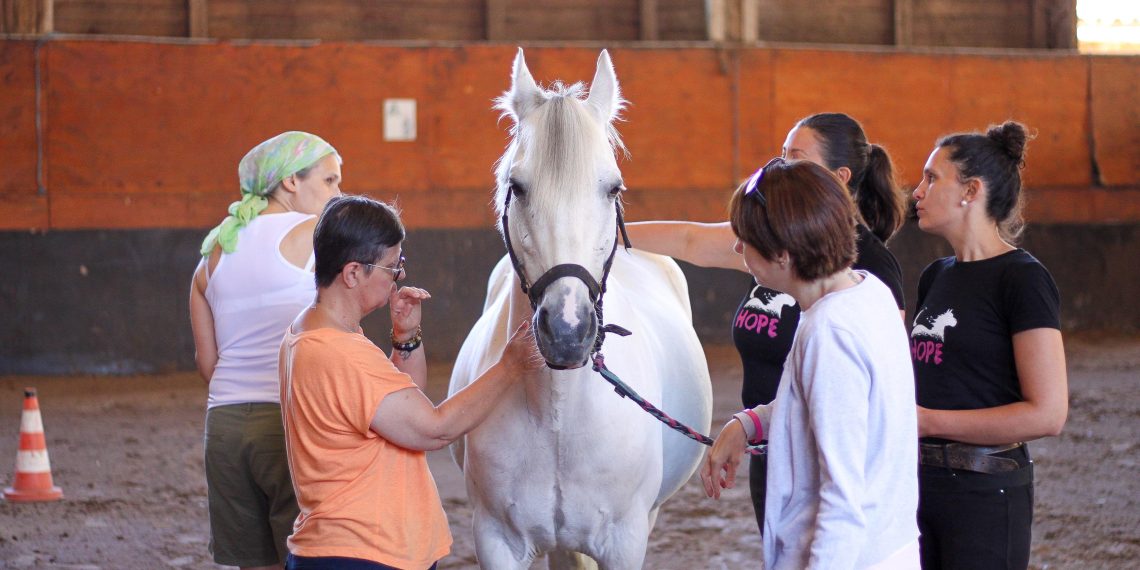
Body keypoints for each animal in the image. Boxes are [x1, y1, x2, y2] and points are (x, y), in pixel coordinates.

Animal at [447, 49, 713, 569]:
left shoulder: (626, 541)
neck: (559, 413)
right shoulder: (495, 540)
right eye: (518, 186)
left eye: (613, 189)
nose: (568, 331)